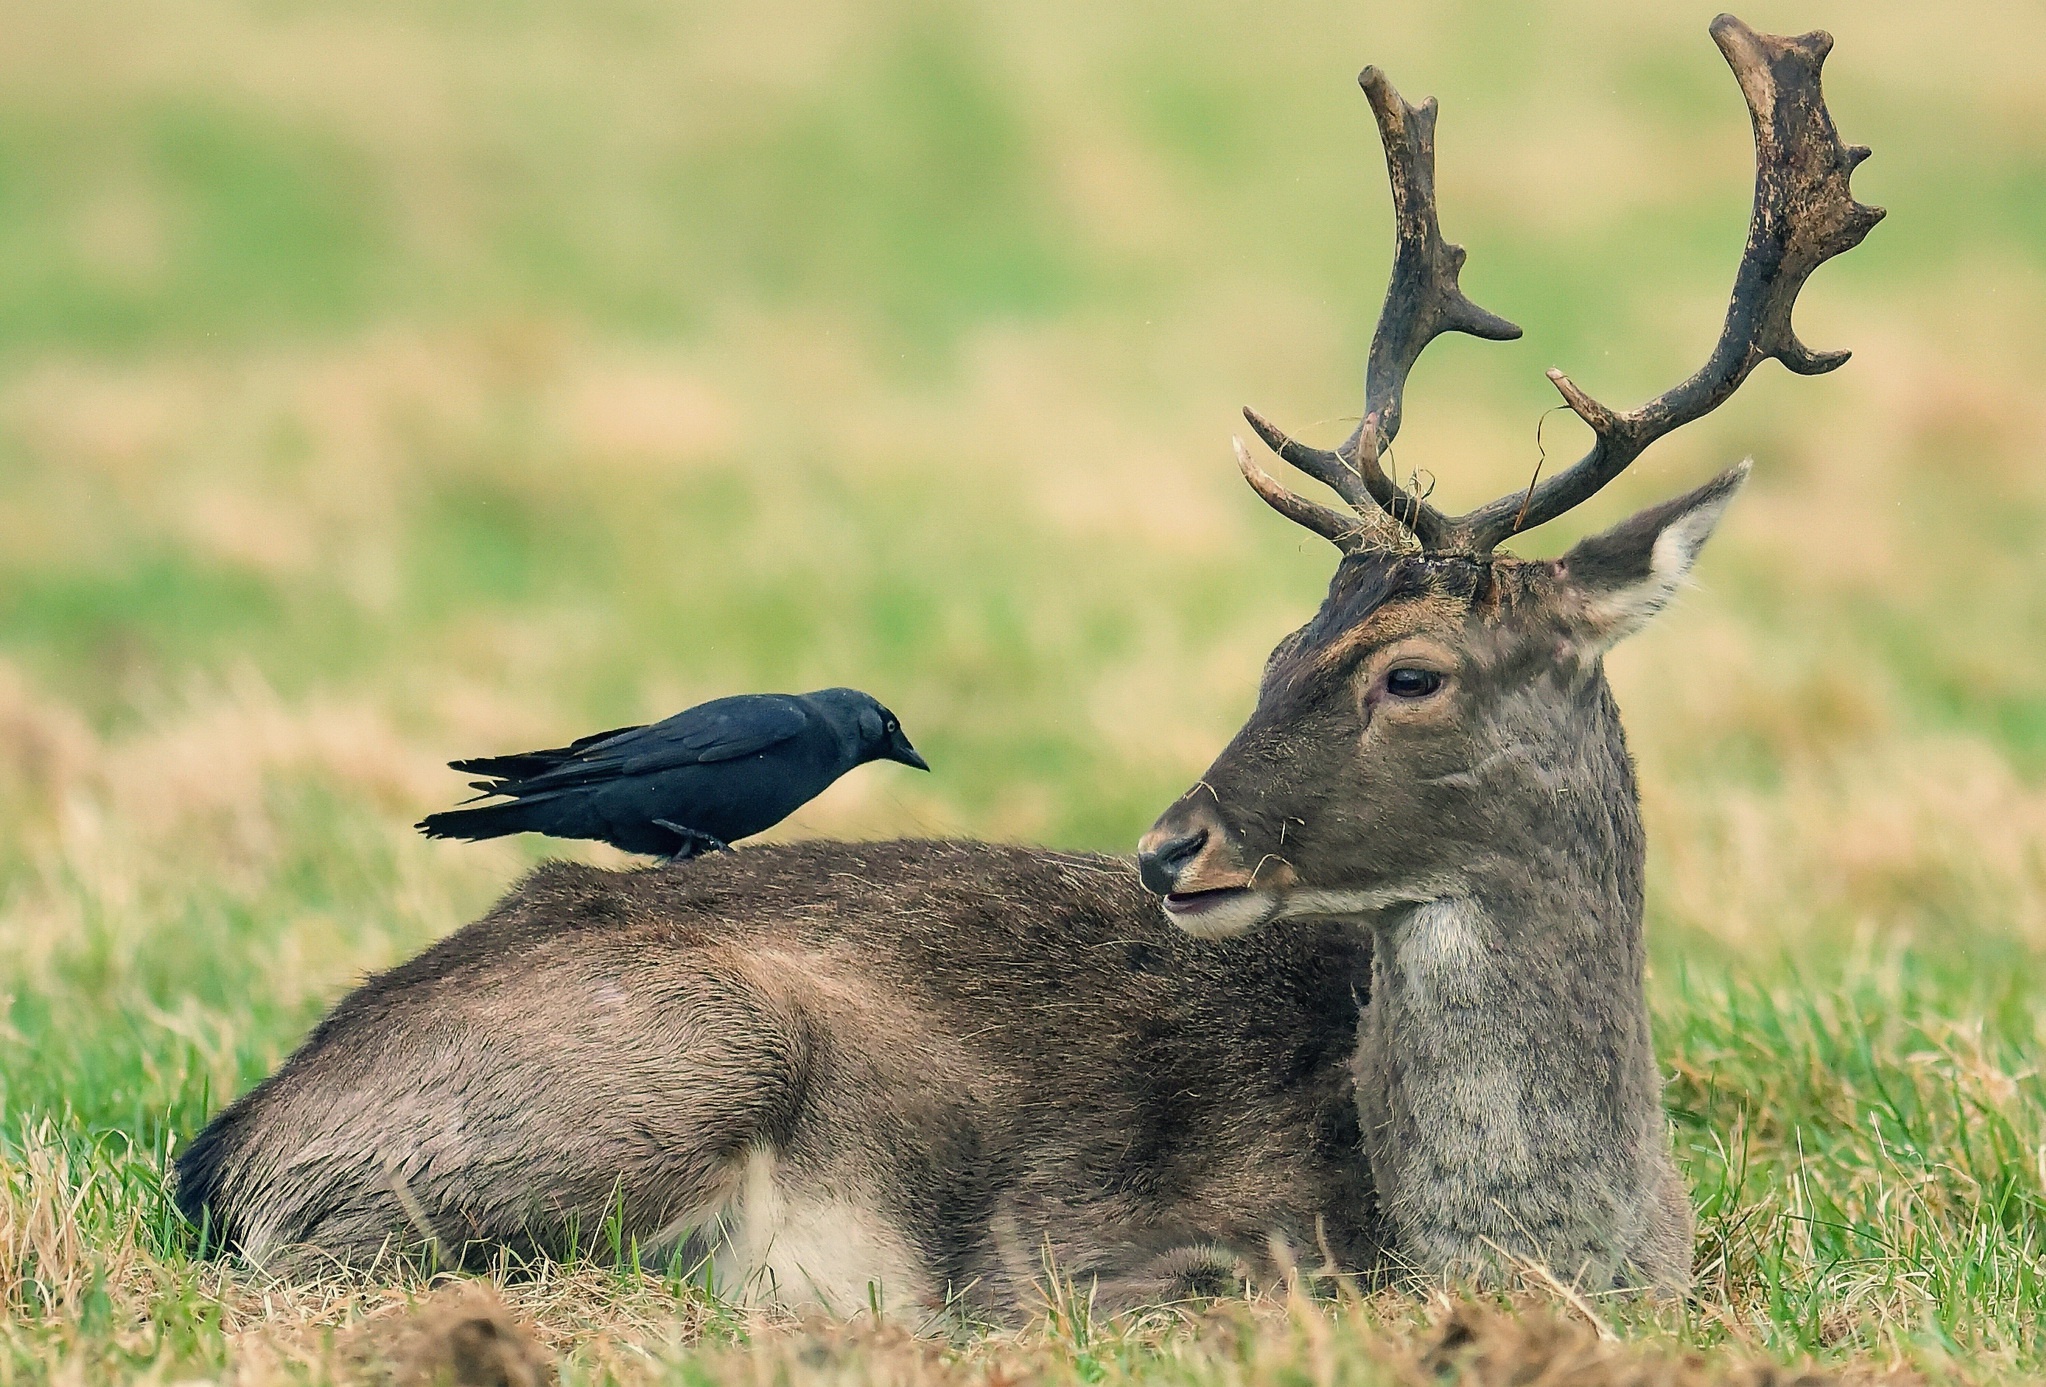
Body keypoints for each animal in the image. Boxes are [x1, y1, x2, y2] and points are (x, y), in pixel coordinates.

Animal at [171, 19, 1874, 1325]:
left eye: (1409, 673)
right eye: (1278, 644)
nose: (1170, 845)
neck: (1546, 1242)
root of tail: (231, 1144)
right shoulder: (1130, 1259)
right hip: (676, 1056)